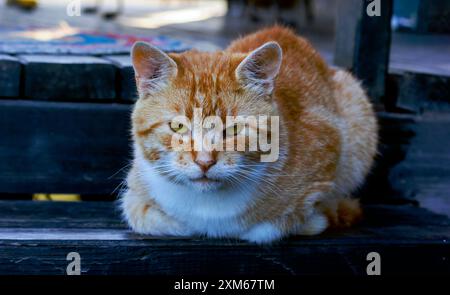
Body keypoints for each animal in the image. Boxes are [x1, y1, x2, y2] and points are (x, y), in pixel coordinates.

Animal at [119, 25, 376, 244]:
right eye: (178, 127)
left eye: (234, 129)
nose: (204, 162)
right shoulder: (135, 193)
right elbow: (147, 216)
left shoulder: (330, 147)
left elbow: (278, 224)